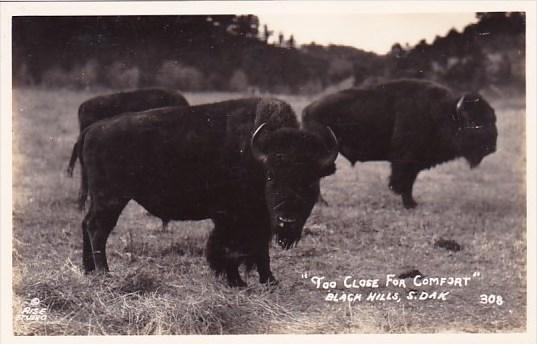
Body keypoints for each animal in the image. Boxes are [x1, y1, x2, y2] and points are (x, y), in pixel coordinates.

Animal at [77, 98, 338, 286]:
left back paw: (89, 271)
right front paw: (241, 282)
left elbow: (255, 248)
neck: (256, 155)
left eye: (311, 182)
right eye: (271, 177)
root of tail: (92, 130)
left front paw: (265, 281)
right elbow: (233, 248)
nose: (286, 221)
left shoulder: (258, 218)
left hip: (102, 200)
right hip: (111, 199)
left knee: (86, 223)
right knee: (98, 229)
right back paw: (105, 273)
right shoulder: (234, 217)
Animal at [304, 79, 496, 208]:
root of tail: (309, 108)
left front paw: (412, 203)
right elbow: (403, 181)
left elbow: (410, 182)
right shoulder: (405, 160)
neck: (443, 112)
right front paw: (409, 204)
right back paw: (322, 202)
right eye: (472, 121)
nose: (492, 147)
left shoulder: (416, 163)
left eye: (492, 119)